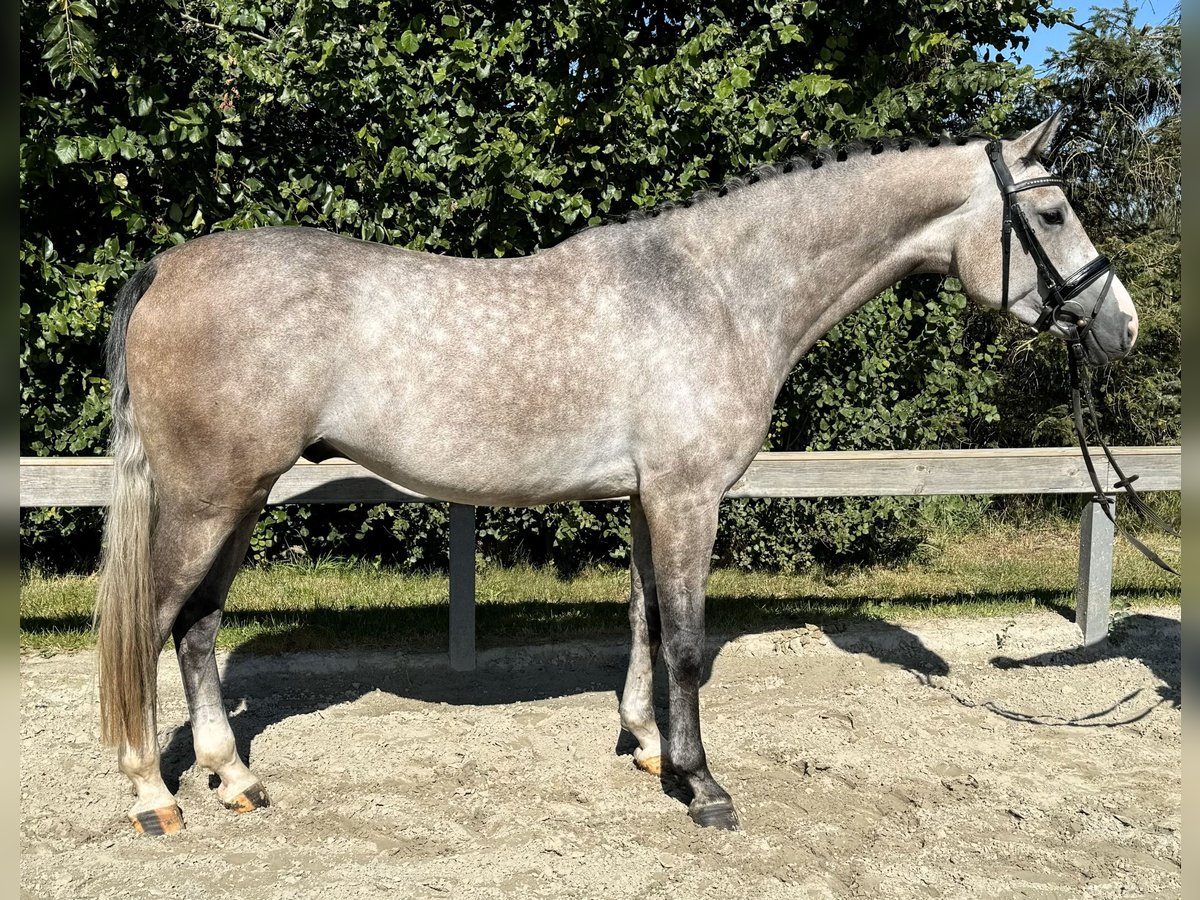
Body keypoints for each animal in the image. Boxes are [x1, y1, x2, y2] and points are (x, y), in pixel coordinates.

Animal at [93, 114, 1132, 840]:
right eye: (1050, 213)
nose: (1120, 324)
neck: (717, 292)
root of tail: (166, 268)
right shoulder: (688, 496)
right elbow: (687, 644)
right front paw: (703, 786)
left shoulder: (646, 498)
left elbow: (643, 623)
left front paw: (647, 748)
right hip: (208, 499)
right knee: (151, 624)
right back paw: (151, 794)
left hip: (238, 499)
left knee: (197, 627)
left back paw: (236, 779)